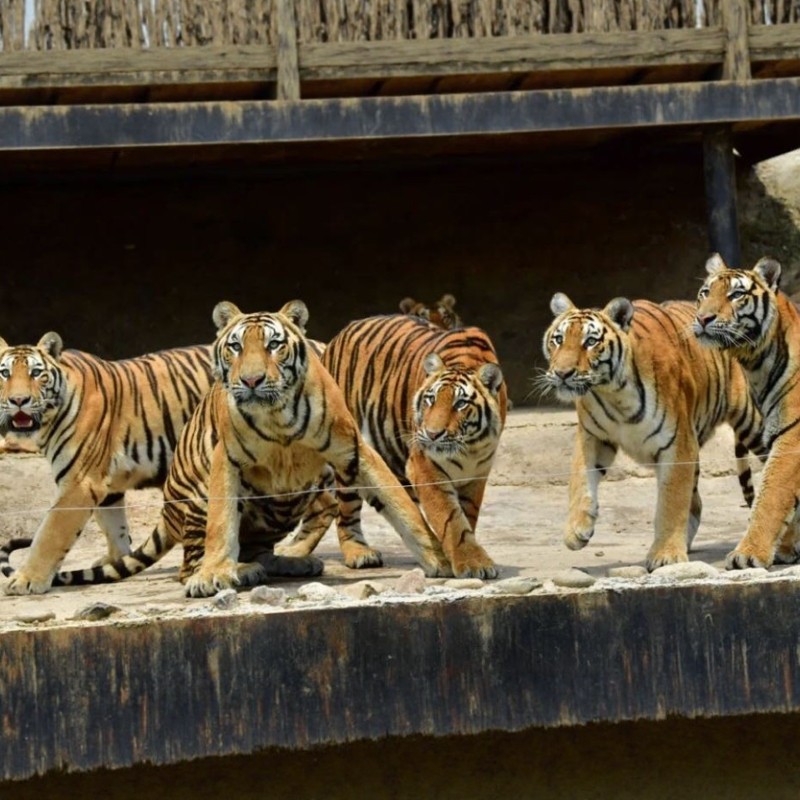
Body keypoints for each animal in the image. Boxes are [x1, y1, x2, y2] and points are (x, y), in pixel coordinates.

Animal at [0, 334, 214, 594]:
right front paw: (115, 561)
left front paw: (26, 579)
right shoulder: (105, 485)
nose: (18, 400)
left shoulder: (79, 484)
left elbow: (49, 534)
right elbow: (114, 527)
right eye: (4, 373)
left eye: (36, 373)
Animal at [46, 300, 451, 597]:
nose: (252, 380)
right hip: (196, 495)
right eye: (236, 346)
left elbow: (400, 503)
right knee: (188, 563)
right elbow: (221, 523)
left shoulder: (353, 448)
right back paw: (236, 571)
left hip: (291, 501)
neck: (277, 417)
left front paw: (441, 558)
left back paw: (287, 563)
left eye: (274, 345)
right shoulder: (226, 460)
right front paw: (213, 574)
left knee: (261, 548)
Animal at [278, 314, 506, 579]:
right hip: (347, 455)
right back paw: (358, 553)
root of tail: (337, 336)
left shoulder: (478, 472)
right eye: (430, 399)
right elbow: (452, 519)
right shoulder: (424, 467)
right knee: (343, 511)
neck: (469, 446)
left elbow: (467, 517)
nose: (433, 434)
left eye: (460, 404)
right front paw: (473, 563)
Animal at [541, 292, 764, 571]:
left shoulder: (678, 443)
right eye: (558, 339)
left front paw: (666, 554)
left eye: (590, 341)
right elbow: (580, 480)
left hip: (755, 421)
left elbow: (671, 501)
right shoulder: (593, 436)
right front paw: (576, 530)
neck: (612, 393)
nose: (562, 374)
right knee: (696, 503)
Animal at [693, 253, 800, 569]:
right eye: (705, 292)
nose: (702, 318)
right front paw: (785, 548)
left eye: (736, 295)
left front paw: (749, 554)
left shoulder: (792, 436)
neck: (755, 364)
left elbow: (771, 495)